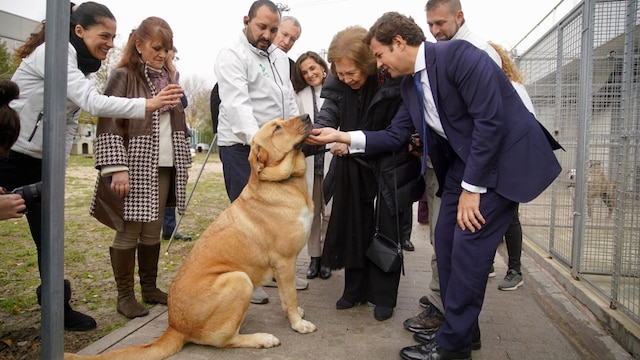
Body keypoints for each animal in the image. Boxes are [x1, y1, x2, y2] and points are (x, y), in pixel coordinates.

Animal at [64, 114, 316, 360]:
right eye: (276, 128)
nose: (307, 116)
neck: (285, 183)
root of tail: (175, 327)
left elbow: (286, 295)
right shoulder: (284, 262)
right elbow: (290, 297)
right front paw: (298, 323)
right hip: (239, 279)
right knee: (222, 340)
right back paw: (262, 339)